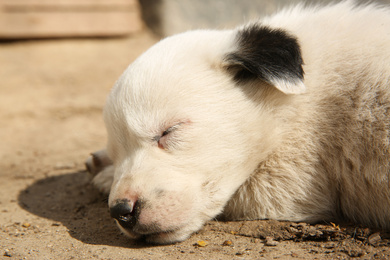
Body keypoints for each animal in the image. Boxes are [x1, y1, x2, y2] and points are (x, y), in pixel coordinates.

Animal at [85, 1, 390, 244]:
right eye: (117, 151)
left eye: (168, 131)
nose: (121, 212)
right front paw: (105, 165)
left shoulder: (295, 177)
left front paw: (104, 174)